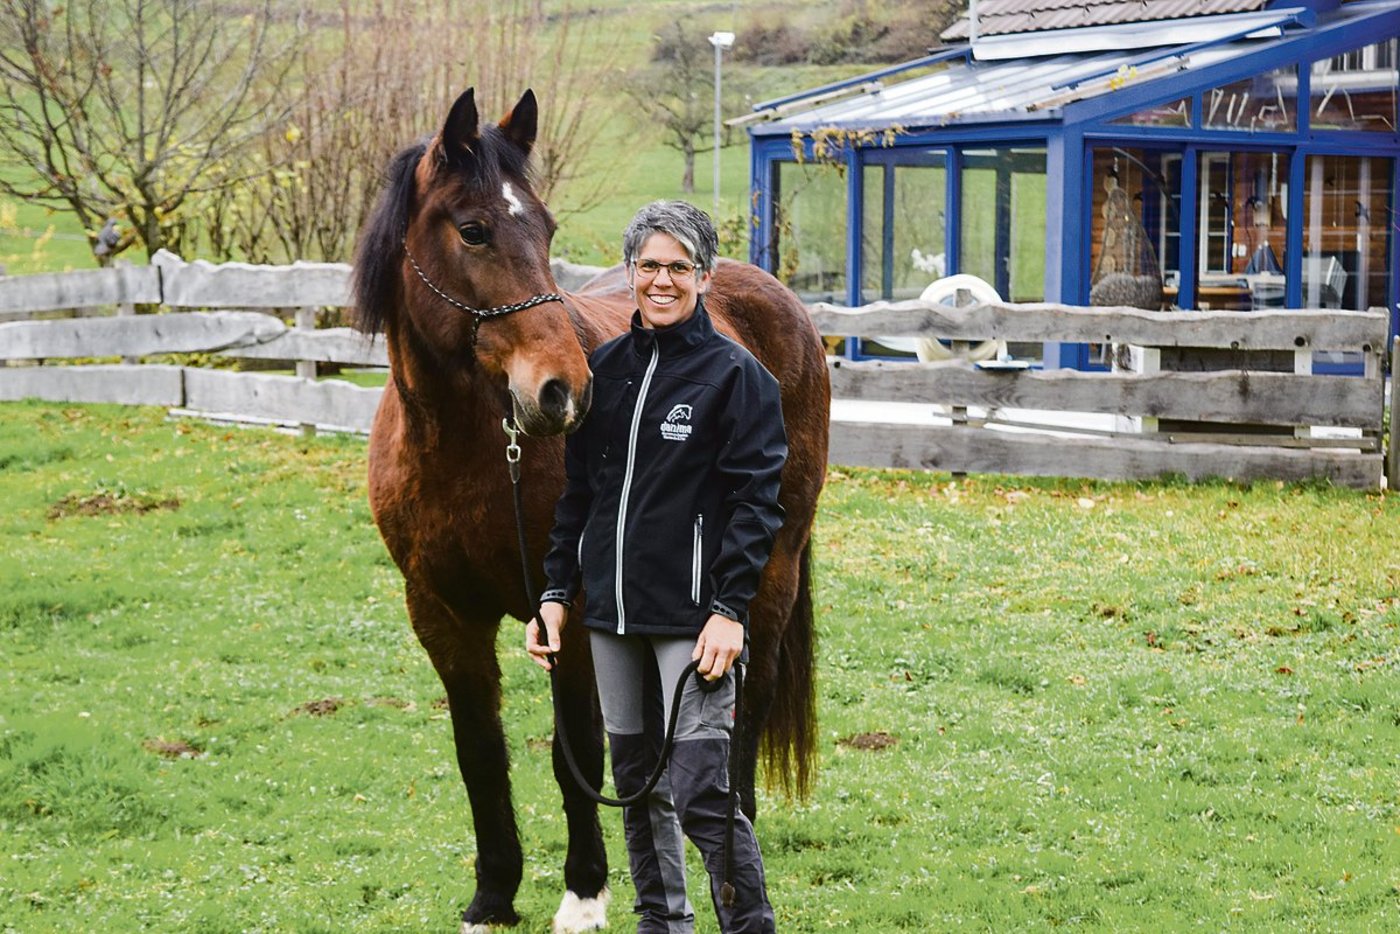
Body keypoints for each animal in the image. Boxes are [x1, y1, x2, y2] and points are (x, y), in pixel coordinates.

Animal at [352, 87, 829, 933]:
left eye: (544, 228)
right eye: (473, 229)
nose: (561, 392)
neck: (469, 449)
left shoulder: (571, 614)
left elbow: (572, 747)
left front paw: (583, 892)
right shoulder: (441, 614)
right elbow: (480, 751)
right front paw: (492, 894)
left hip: (769, 570)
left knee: (749, 693)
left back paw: (733, 828)